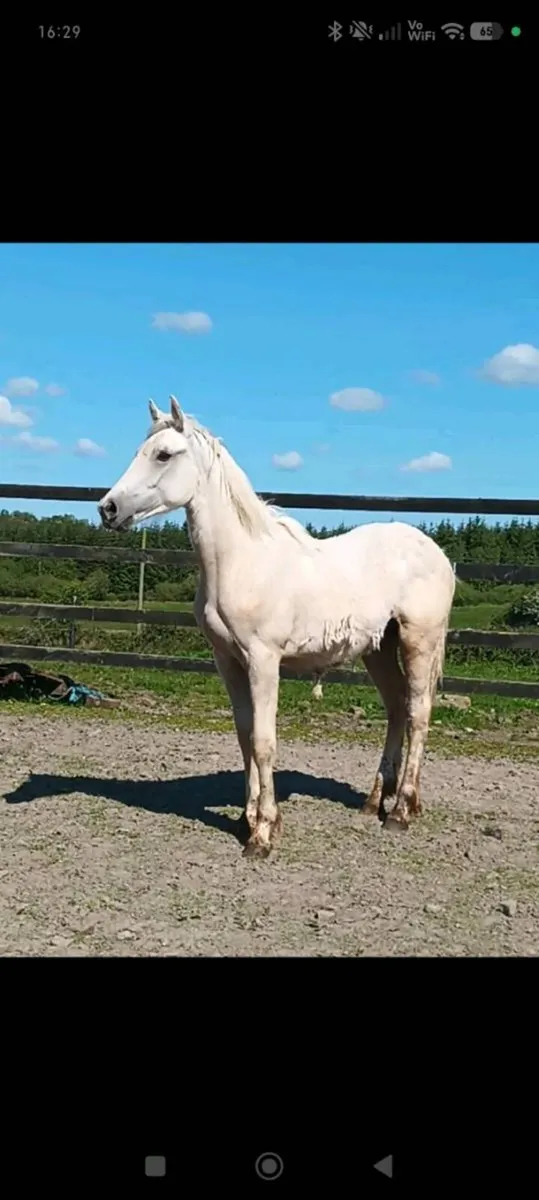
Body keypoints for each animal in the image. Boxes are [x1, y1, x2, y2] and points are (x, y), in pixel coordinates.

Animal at [98, 395, 456, 859]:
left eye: (163, 454)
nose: (108, 509)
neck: (242, 561)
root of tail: (437, 553)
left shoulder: (263, 660)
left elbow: (265, 742)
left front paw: (263, 834)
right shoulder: (228, 661)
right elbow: (245, 736)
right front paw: (245, 819)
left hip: (418, 640)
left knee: (418, 713)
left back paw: (400, 813)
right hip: (378, 648)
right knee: (396, 708)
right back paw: (374, 802)